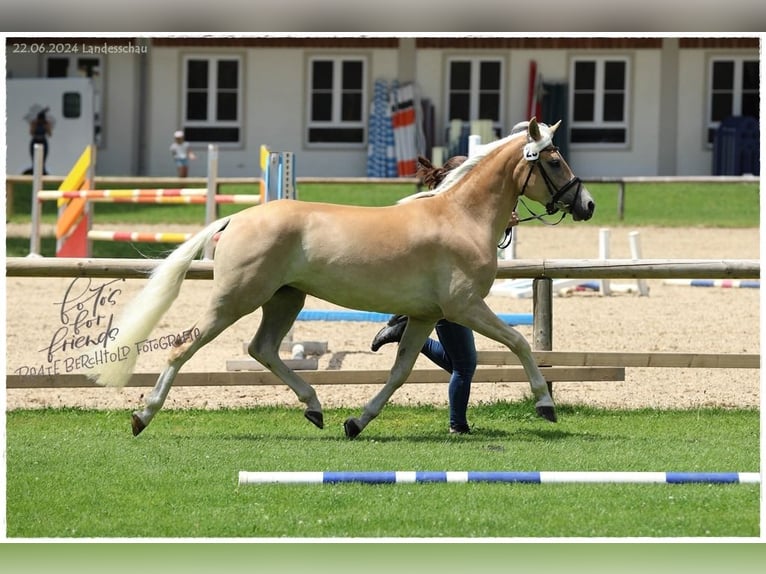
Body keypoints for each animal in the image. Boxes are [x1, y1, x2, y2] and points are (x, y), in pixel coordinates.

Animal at [87, 119, 596, 438]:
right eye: (553, 161)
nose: (587, 204)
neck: (460, 217)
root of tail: (236, 219)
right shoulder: (465, 307)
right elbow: (520, 342)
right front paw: (545, 405)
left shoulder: (425, 316)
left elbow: (399, 372)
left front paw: (356, 422)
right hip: (235, 299)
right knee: (183, 347)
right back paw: (142, 416)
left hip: (284, 299)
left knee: (262, 348)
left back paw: (315, 408)